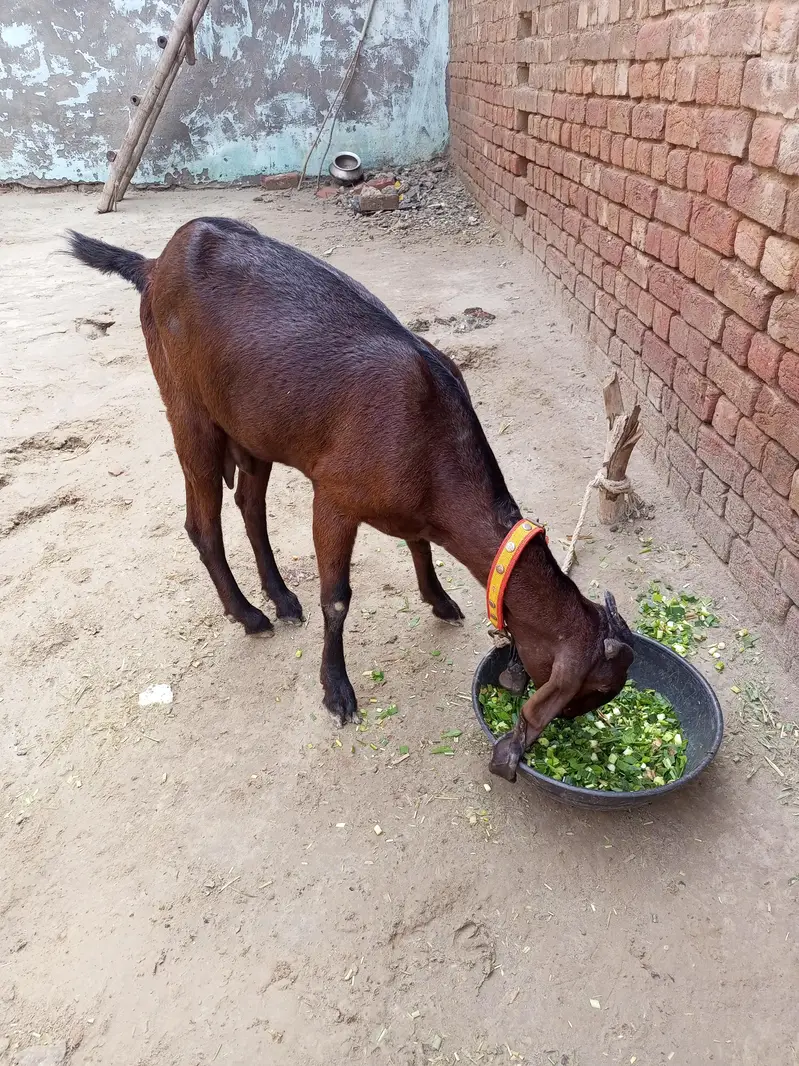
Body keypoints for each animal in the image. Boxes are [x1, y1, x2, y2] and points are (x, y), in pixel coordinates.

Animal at [66, 218, 634, 781]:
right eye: (595, 690)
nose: (570, 726)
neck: (431, 439)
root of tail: (153, 263)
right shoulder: (335, 497)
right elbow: (337, 598)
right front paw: (336, 691)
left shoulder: (409, 506)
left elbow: (418, 546)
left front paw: (439, 600)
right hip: (188, 408)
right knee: (201, 523)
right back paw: (250, 616)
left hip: (254, 428)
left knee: (250, 504)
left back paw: (282, 598)